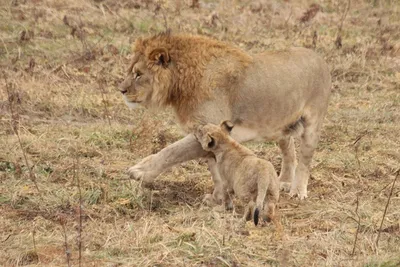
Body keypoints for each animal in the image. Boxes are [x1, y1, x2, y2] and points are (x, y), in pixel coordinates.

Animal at [121, 31, 332, 201]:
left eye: (138, 74)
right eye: (130, 70)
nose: (121, 90)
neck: (180, 85)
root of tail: (320, 57)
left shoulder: (210, 128)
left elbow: (171, 151)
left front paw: (140, 171)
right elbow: (215, 171)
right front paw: (218, 197)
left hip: (312, 125)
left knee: (305, 160)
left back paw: (297, 191)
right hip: (280, 125)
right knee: (289, 150)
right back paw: (284, 182)